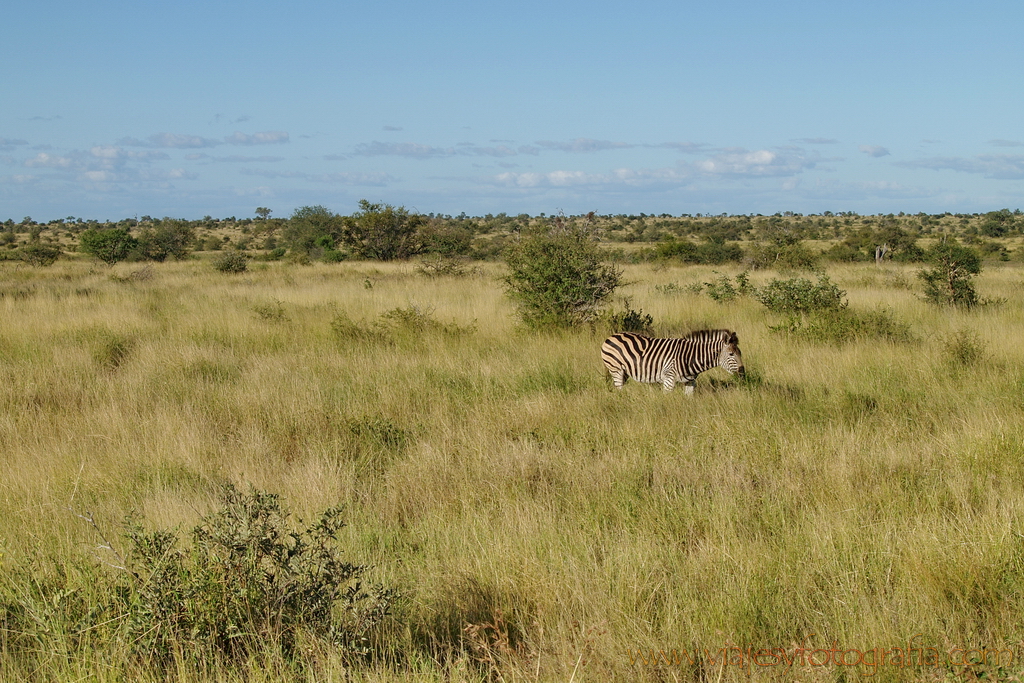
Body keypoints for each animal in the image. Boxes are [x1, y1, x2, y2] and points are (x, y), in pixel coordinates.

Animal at [598, 329, 745, 395]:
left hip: (625, 373)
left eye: (740, 353)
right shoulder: (669, 379)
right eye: (731, 354)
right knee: (619, 389)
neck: (691, 356)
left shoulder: (690, 381)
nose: (743, 373)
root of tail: (611, 336)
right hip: (616, 370)